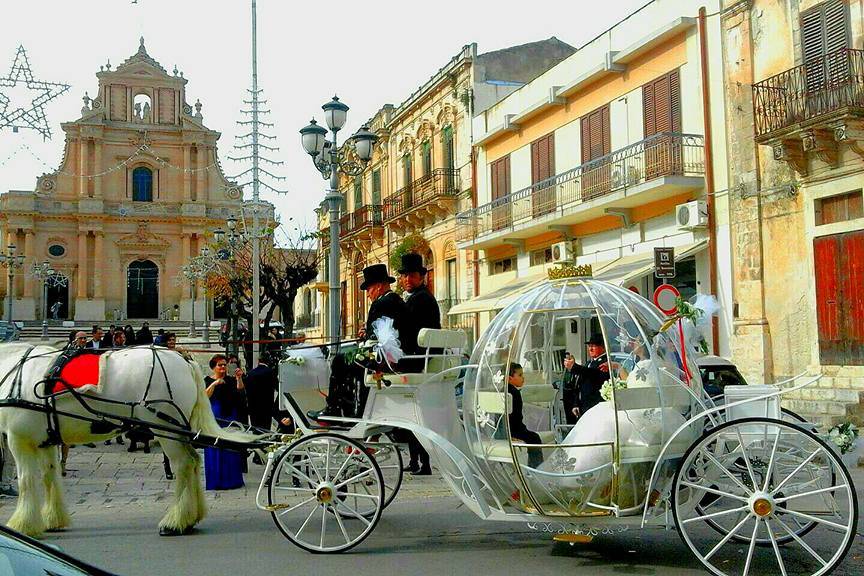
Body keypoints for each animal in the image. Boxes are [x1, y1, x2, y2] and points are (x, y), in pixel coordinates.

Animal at [0, 342, 255, 536]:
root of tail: (183, 360)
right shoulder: (45, 441)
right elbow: (49, 477)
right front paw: (53, 519)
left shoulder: (18, 440)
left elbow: (26, 480)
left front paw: (22, 523)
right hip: (178, 430)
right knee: (193, 461)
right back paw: (190, 518)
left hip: (167, 430)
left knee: (184, 463)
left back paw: (175, 522)